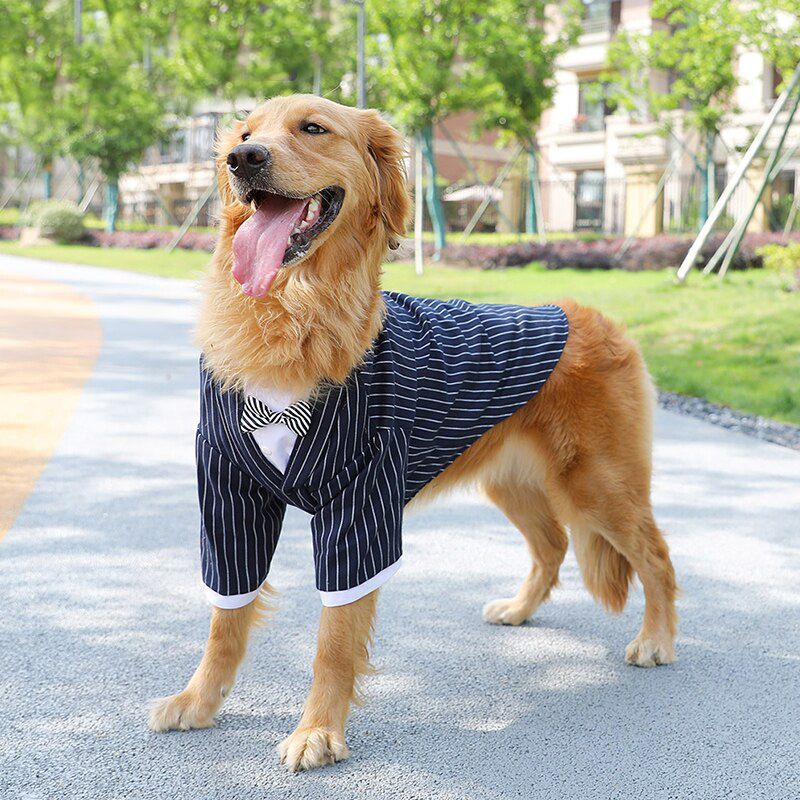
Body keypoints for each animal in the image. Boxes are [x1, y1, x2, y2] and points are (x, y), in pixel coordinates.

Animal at [148, 94, 676, 768]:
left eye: (312, 128)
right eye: (243, 134)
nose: (245, 159)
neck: (293, 313)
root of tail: (598, 317)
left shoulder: (361, 506)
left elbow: (333, 640)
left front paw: (317, 731)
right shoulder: (228, 497)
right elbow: (225, 618)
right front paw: (198, 701)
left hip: (599, 484)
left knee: (656, 557)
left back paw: (657, 639)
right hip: (515, 481)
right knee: (553, 545)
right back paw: (518, 609)